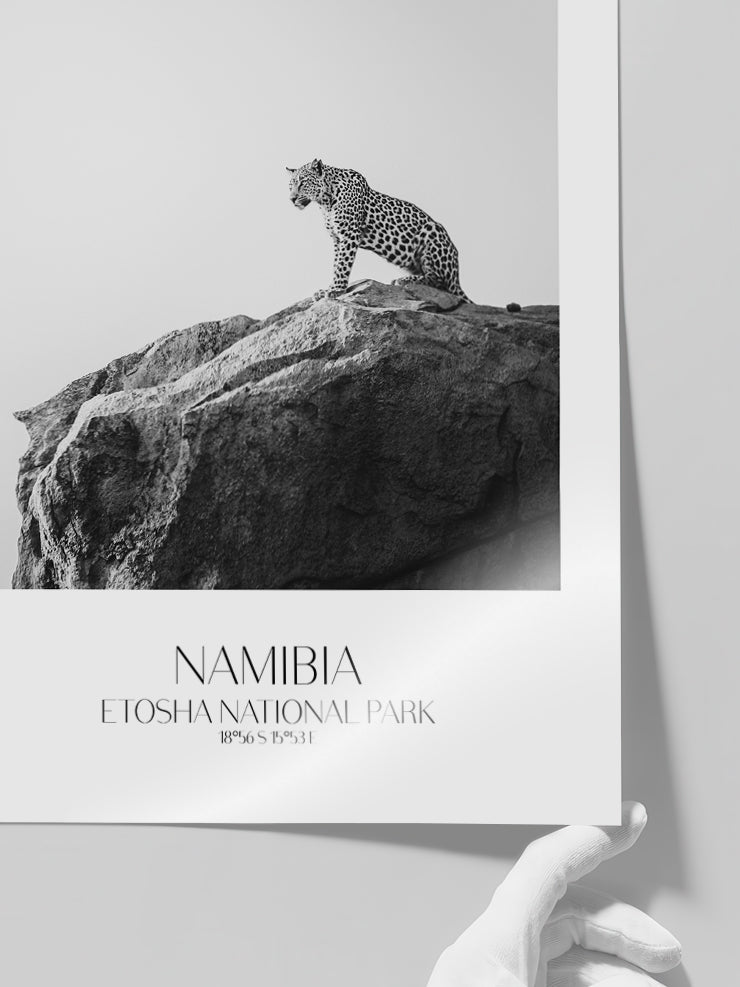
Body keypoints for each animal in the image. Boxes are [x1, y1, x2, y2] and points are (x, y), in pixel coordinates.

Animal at [286, 159, 472, 303]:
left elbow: (342, 264)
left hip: (432, 231)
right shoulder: (337, 239)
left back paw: (404, 280)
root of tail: (457, 274)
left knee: (440, 282)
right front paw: (329, 288)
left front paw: (336, 290)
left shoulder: (349, 235)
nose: (292, 199)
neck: (325, 202)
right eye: (290, 186)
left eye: (303, 183)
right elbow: (336, 264)